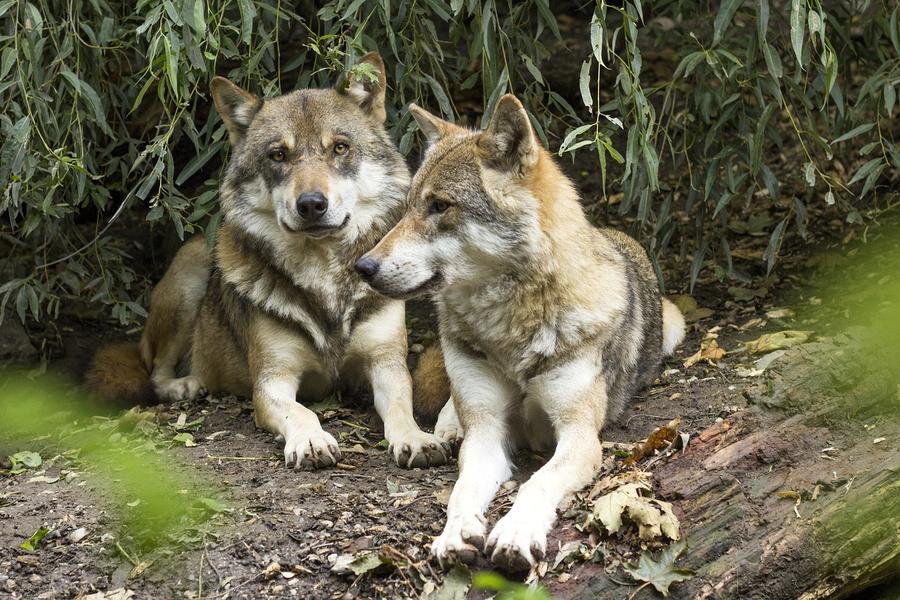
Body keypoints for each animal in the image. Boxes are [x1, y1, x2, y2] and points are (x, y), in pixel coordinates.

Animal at [87, 53, 450, 470]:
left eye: (340, 148)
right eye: (278, 155)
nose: (311, 204)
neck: (323, 275)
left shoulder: (387, 366)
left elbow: (403, 408)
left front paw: (417, 439)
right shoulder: (272, 381)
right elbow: (302, 412)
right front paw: (311, 440)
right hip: (190, 276)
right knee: (155, 371)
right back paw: (186, 384)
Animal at [355, 94, 686, 570]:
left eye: (440, 206)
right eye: (411, 205)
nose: (362, 267)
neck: (510, 330)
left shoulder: (579, 436)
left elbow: (537, 483)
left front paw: (515, 532)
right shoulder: (488, 432)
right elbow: (462, 491)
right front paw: (454, 534)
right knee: (453, 408)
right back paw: (448, 428)